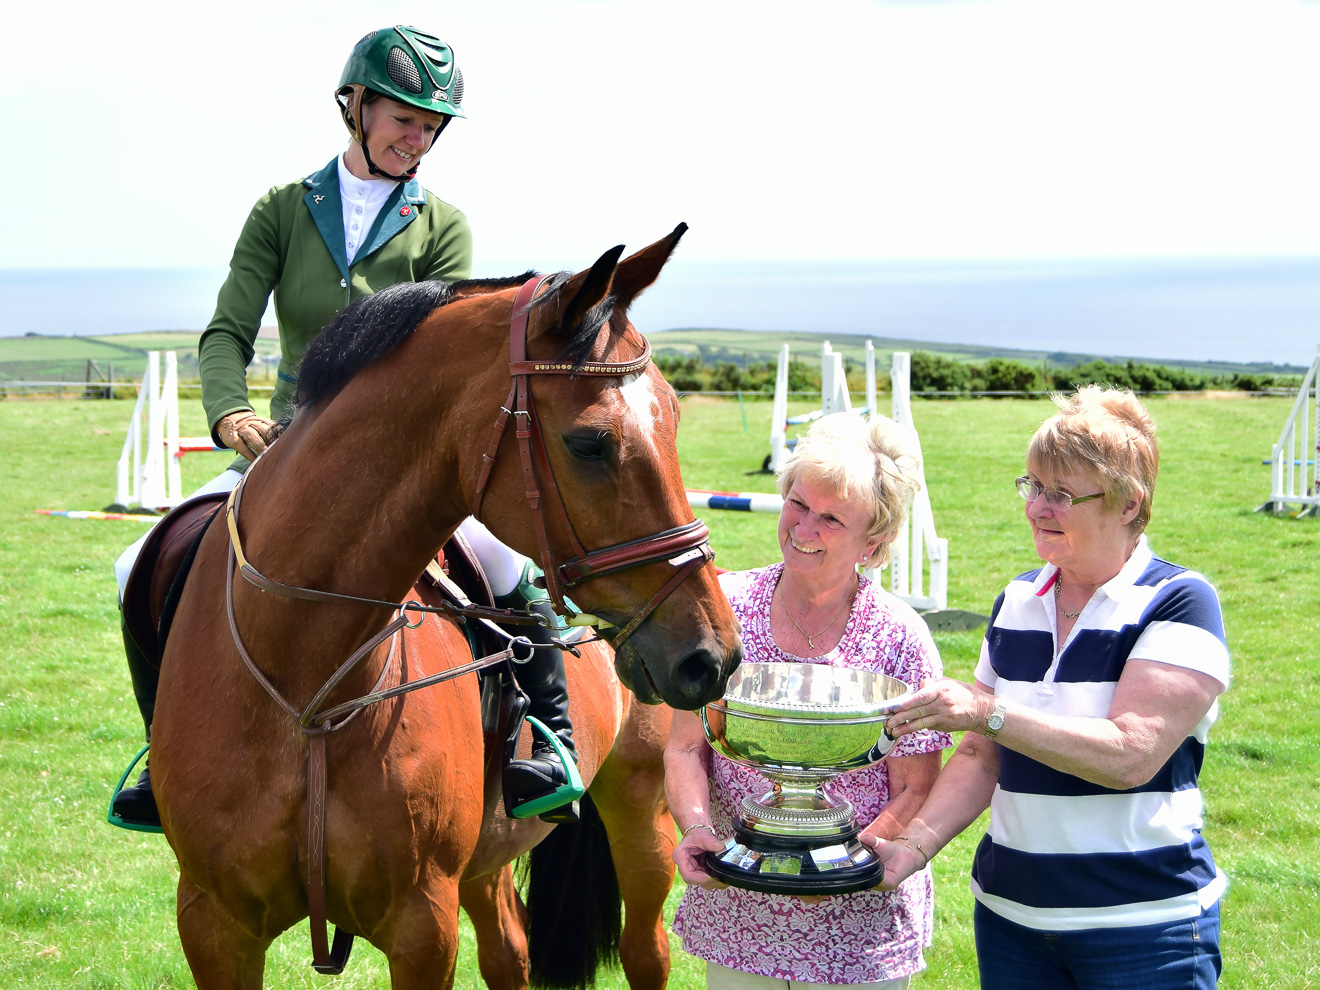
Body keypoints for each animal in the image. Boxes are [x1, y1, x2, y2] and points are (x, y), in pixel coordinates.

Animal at [151, 227, 744, 990]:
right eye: (590, 443)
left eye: (671, 419)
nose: (713, 656)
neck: (305, 682)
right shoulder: (213, 922)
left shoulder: (421, 925)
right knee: (510, 949)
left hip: (641, 806)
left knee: (646, 948)